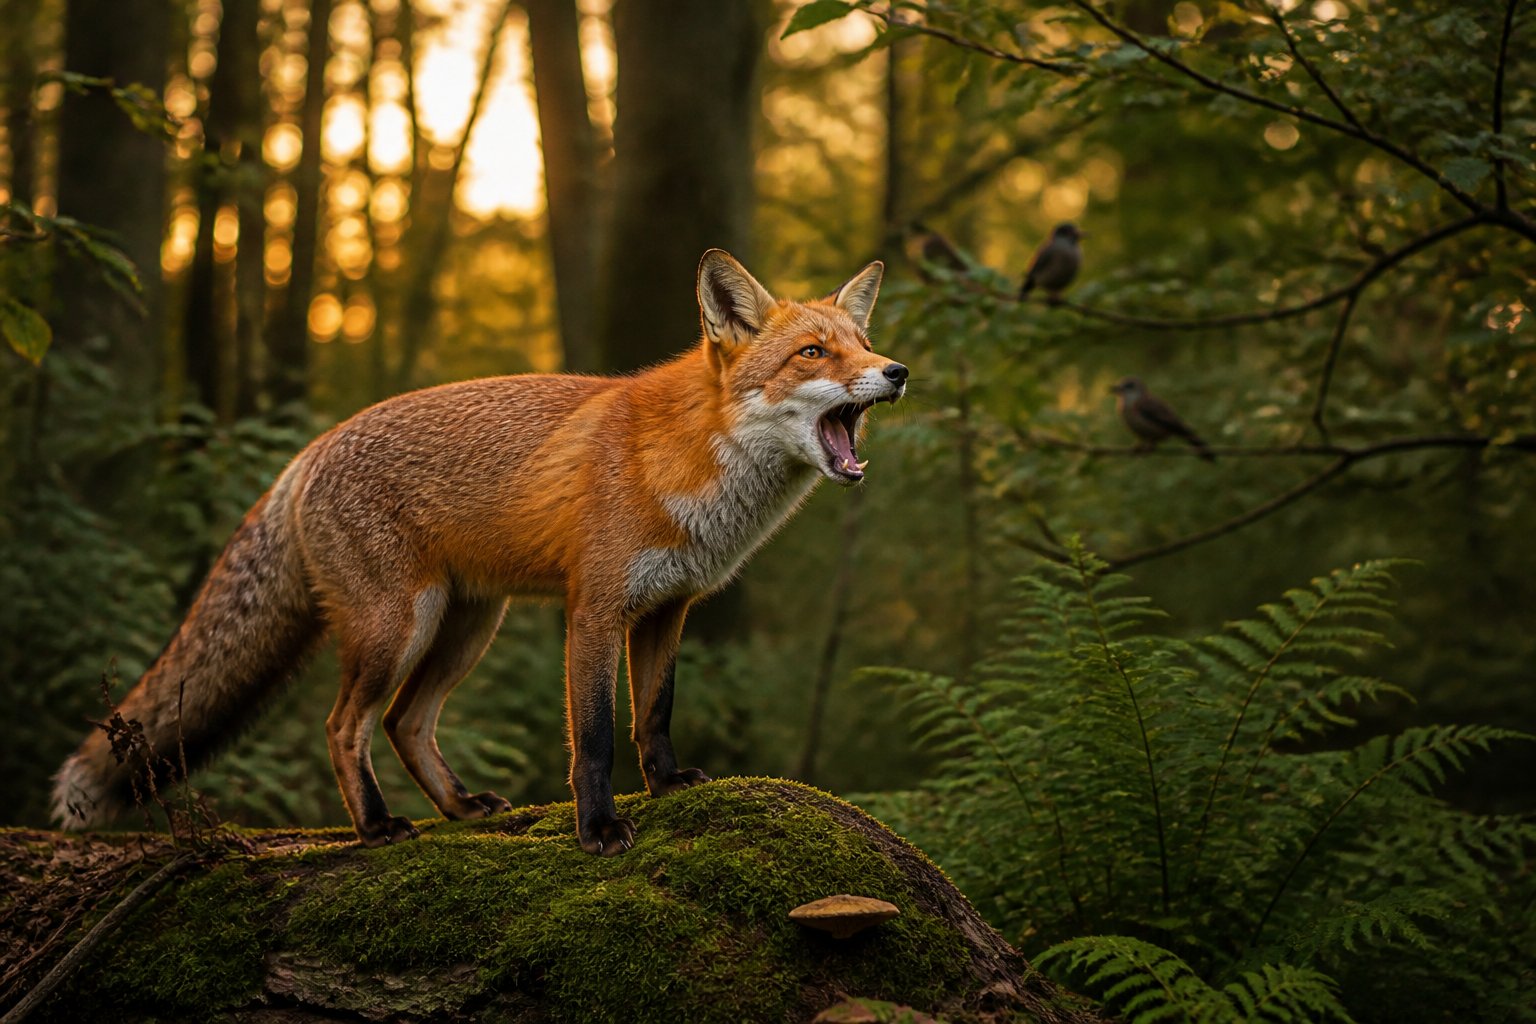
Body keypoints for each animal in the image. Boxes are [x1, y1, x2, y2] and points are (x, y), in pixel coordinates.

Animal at [51, 250, 906, 855]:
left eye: (864, 344)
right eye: (813, 353)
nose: (896, 371)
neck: (689, 463)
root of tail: (314, 448)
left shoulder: (668, 607)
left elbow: (653, 715)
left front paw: (667, 785)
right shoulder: (594, 609)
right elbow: (596, 738)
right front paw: (598, 830)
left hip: (465, 627)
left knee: (405, 724)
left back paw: (460, 807)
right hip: (399, 628)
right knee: (344, 726)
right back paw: (376, 827)